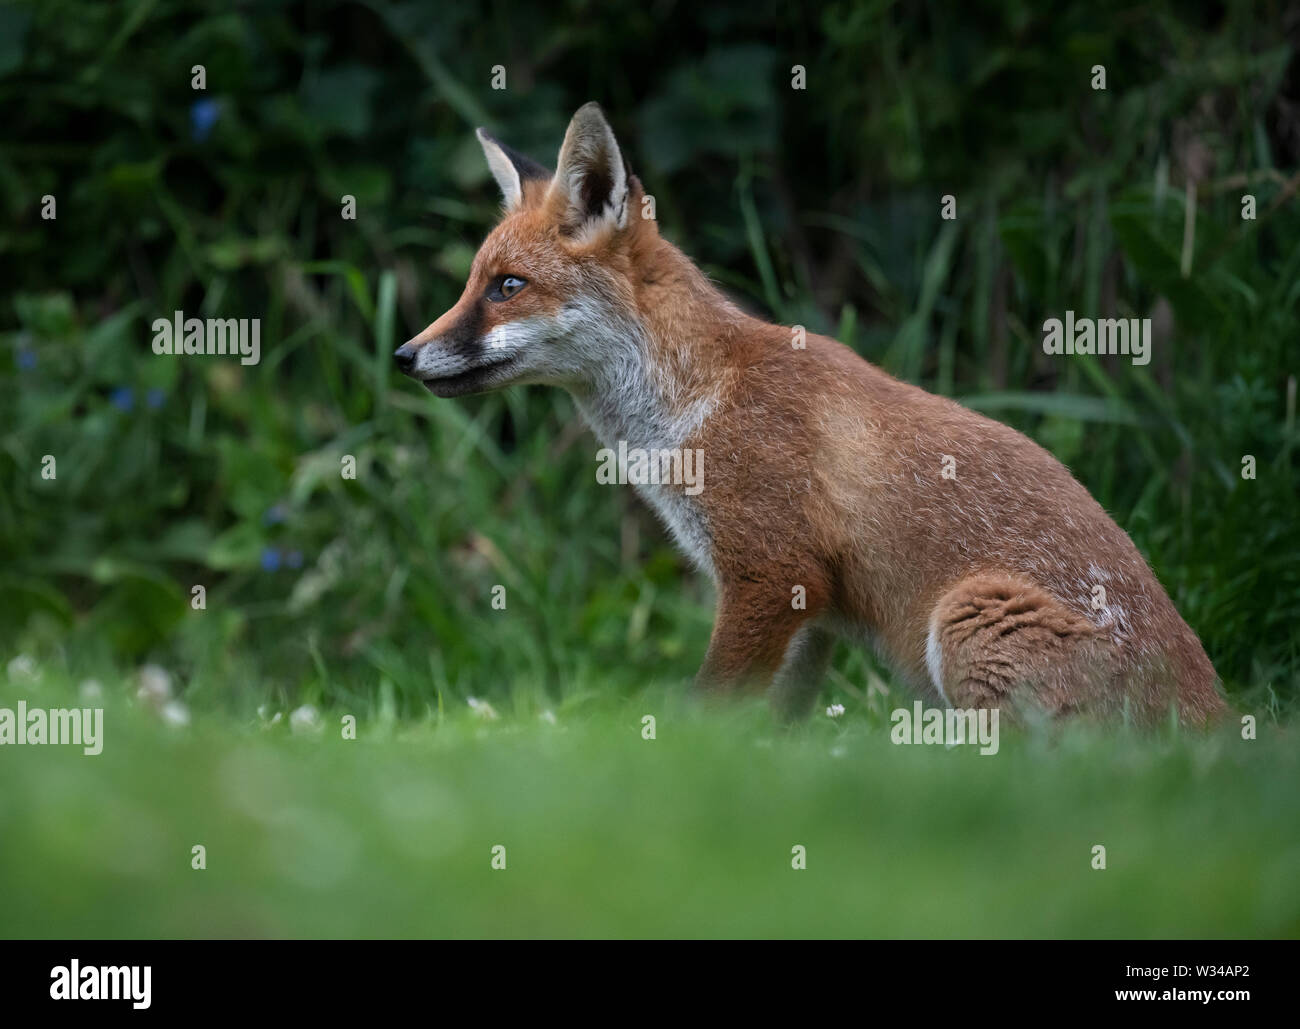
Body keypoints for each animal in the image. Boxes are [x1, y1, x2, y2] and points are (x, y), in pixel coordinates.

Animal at [394, 102, 1226, 727]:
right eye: (473, 282)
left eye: (507, 286)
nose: (405, 353)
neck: (695, 401)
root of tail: (1222, 720)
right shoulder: (808, 608)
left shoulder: (770, 570)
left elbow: (708, 707)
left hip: (967, 616)